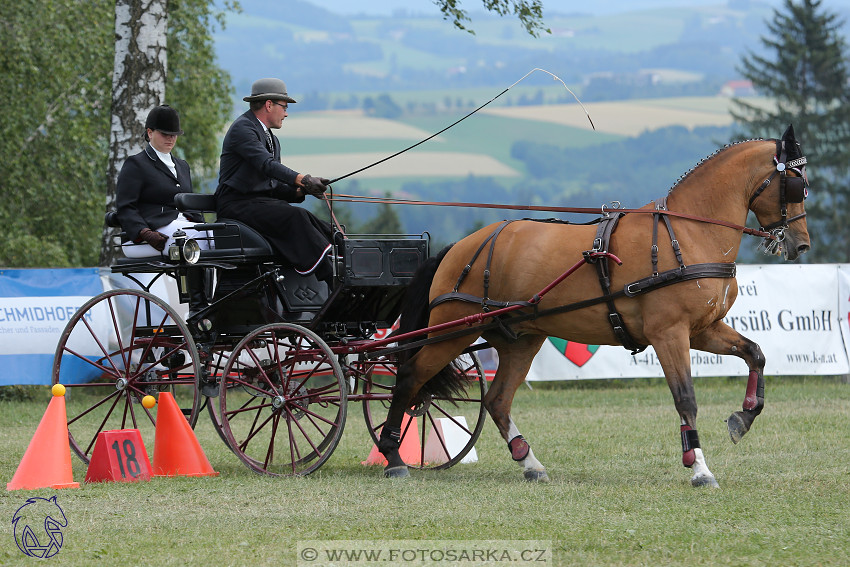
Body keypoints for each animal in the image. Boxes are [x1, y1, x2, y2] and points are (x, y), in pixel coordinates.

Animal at [378, 124, 808, 488]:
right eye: (796, 185)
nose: (801, 244)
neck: (689, 232)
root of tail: (460, 247)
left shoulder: (702, 329)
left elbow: (755, 353)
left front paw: (743, 417)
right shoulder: (669, 333)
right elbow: (685, 398)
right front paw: (699, 468)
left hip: (520, 339)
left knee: (496, 400)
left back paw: (529, 461)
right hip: (453, 330)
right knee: (410, 378)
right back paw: (393, 456)